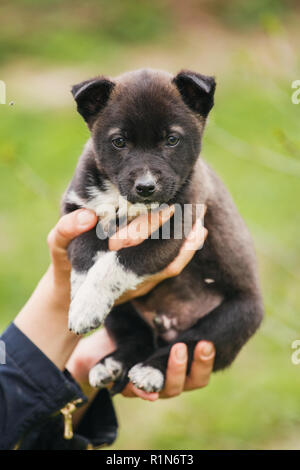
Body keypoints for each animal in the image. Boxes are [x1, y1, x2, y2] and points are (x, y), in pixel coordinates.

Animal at [62, 69, 264, 392]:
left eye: (172, 140)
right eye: (119, 142)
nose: (146, 187)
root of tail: (168, 325)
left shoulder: (173, 232)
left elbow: (117, 261)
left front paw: (85, 303)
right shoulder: (76, 210)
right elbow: (83, 249)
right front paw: (81, 296)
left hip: (235, 319)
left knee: (188, 343)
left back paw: (150, 370)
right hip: (122, 312)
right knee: (137, 339)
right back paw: (112, 364)